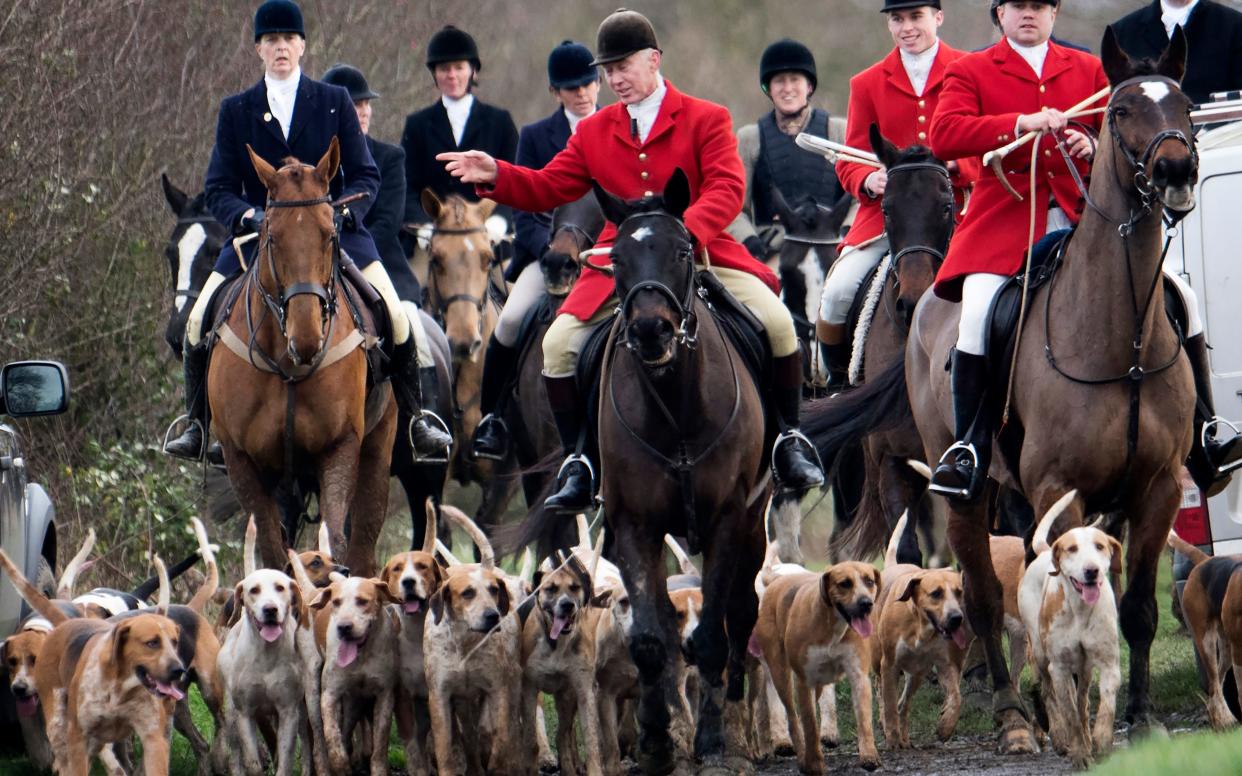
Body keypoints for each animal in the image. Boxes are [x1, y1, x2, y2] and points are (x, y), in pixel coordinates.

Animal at [206, 139, 394, 576]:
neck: (288, 366)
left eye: (330, 234)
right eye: (272, 237)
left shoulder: (340, 447)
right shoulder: (242, 460)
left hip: (377, 454)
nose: (306, 339)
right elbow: (272, 552)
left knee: (363, 547)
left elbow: (336, 545)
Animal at [591, 168, 765, 769]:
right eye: (616, 257)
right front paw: (655, 739)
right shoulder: (633, 525)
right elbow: (649, 638)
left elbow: (712, 633)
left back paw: (735, 725)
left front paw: (712, 740)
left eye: (685, 249)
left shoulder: (728, 520)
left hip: (754, 527)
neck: (676, 406)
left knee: (741, 611)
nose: (651, 330)